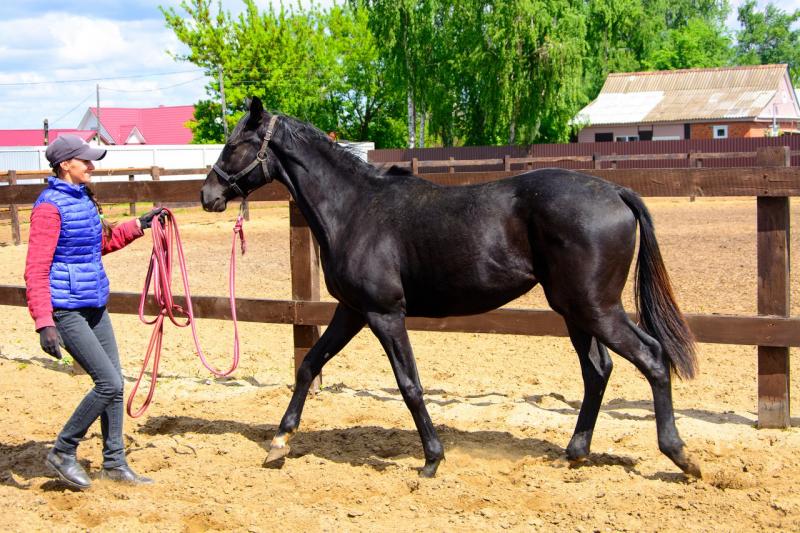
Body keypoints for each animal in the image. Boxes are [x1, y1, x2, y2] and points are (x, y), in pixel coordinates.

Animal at [200, 96, 701, 479]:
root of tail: (617, 192)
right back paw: (575, 454)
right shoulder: (352, 311)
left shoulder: (385, 314)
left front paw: (431, 460)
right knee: (598, 371)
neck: (354, 210)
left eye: (235, 144)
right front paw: (279, 442)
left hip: (595, 307)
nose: (208, 196)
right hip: (575, 310)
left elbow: (409, 384)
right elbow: (309, 366)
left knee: (652, 358)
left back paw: (679, 455)